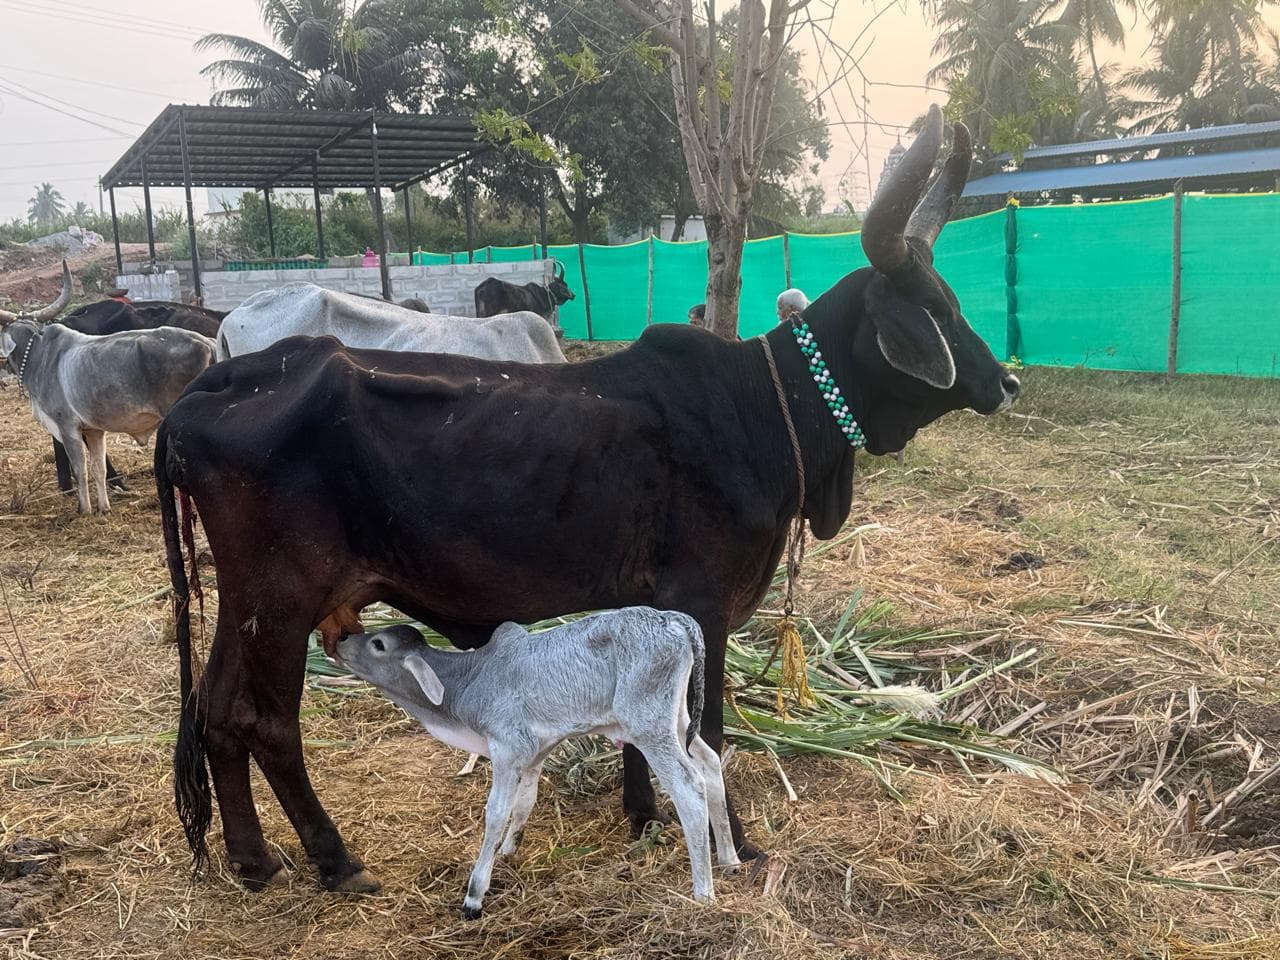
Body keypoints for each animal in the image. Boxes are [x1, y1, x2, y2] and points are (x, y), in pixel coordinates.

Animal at [2, 320, 216, 514]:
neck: (38, 357)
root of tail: (206, 342)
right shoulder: (94, 431)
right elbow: (99, 469)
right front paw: (103, 508)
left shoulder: (67, 427)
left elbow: (80, 470)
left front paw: (84, 509)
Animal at [157, 107, 1020, 894]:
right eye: (936, 310)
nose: (1005, 382)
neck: (758, 408)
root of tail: (215, 382)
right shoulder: (701, 601)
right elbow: (705, 734)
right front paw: (730, 838)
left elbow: (638, 730)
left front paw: (641, 813)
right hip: (278, 597)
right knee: (262, 721)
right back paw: (333, 859)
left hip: (254, 603)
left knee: (217, 713)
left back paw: (253, 858)